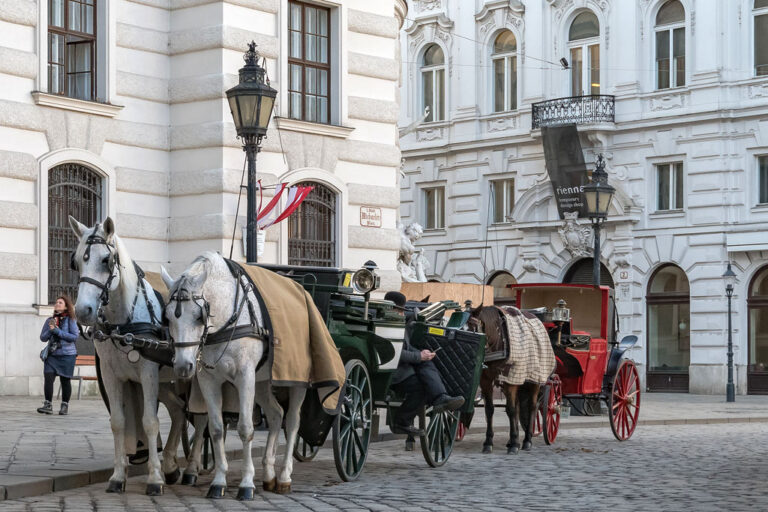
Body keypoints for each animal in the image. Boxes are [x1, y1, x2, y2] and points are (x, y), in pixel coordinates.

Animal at [69, 217, 206, 496]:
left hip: (192, 375)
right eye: (76, 261)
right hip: (168, 380)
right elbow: (119, 422)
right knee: (178, 411)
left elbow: (150, 421)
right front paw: (118, 476)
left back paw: (191, 469)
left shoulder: (148, 372)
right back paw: (171, 467)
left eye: (106, 260)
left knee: (201, 417)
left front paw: (154, 479)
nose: (83, 311)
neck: (123, 322)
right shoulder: (112, 374)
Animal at [162, 252, 306, 500]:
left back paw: (284, 477)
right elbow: (216, 429)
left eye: (199, 317)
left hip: (294, 379)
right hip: (262, 381)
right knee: (276, 414)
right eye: (168, 318)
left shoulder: (244, 376)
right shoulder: (208, 380)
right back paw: (269, 475)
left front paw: (246, 484)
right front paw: (219, 481)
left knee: (292, 421)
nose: (182, 367)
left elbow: (245, 429)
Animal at [468, 306, 552, 454]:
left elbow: (511, 410)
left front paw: (514, 444)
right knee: (518, 408)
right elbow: (489, 410)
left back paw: (527, 440)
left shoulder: (510, 380)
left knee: (532, 407)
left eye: (472, 327)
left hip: (534, 380)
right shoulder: (485, 381)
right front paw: (488, 442)